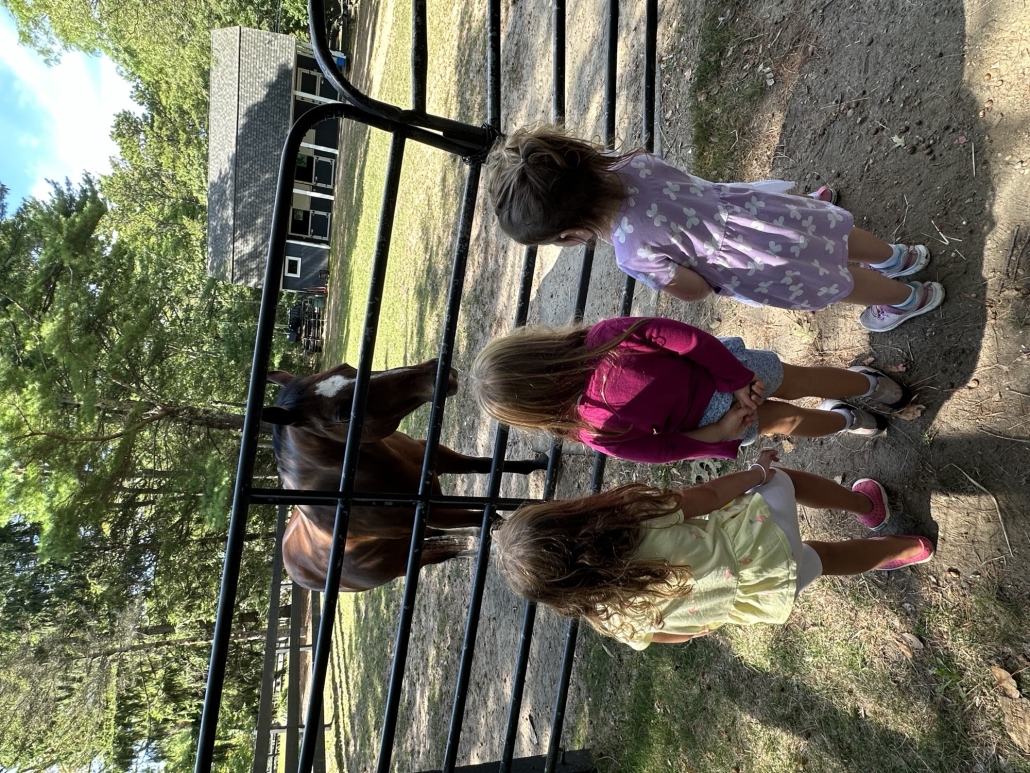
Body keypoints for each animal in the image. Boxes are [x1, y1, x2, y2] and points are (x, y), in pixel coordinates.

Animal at [262, 359, 547, 592]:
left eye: (348, 367)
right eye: (344, 414)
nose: (434, 370)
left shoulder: (439, 457)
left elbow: (488, 466)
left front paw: (541, 462)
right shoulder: (438, 511)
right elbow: (492, 518)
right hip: (408, 560)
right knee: (448, 551)